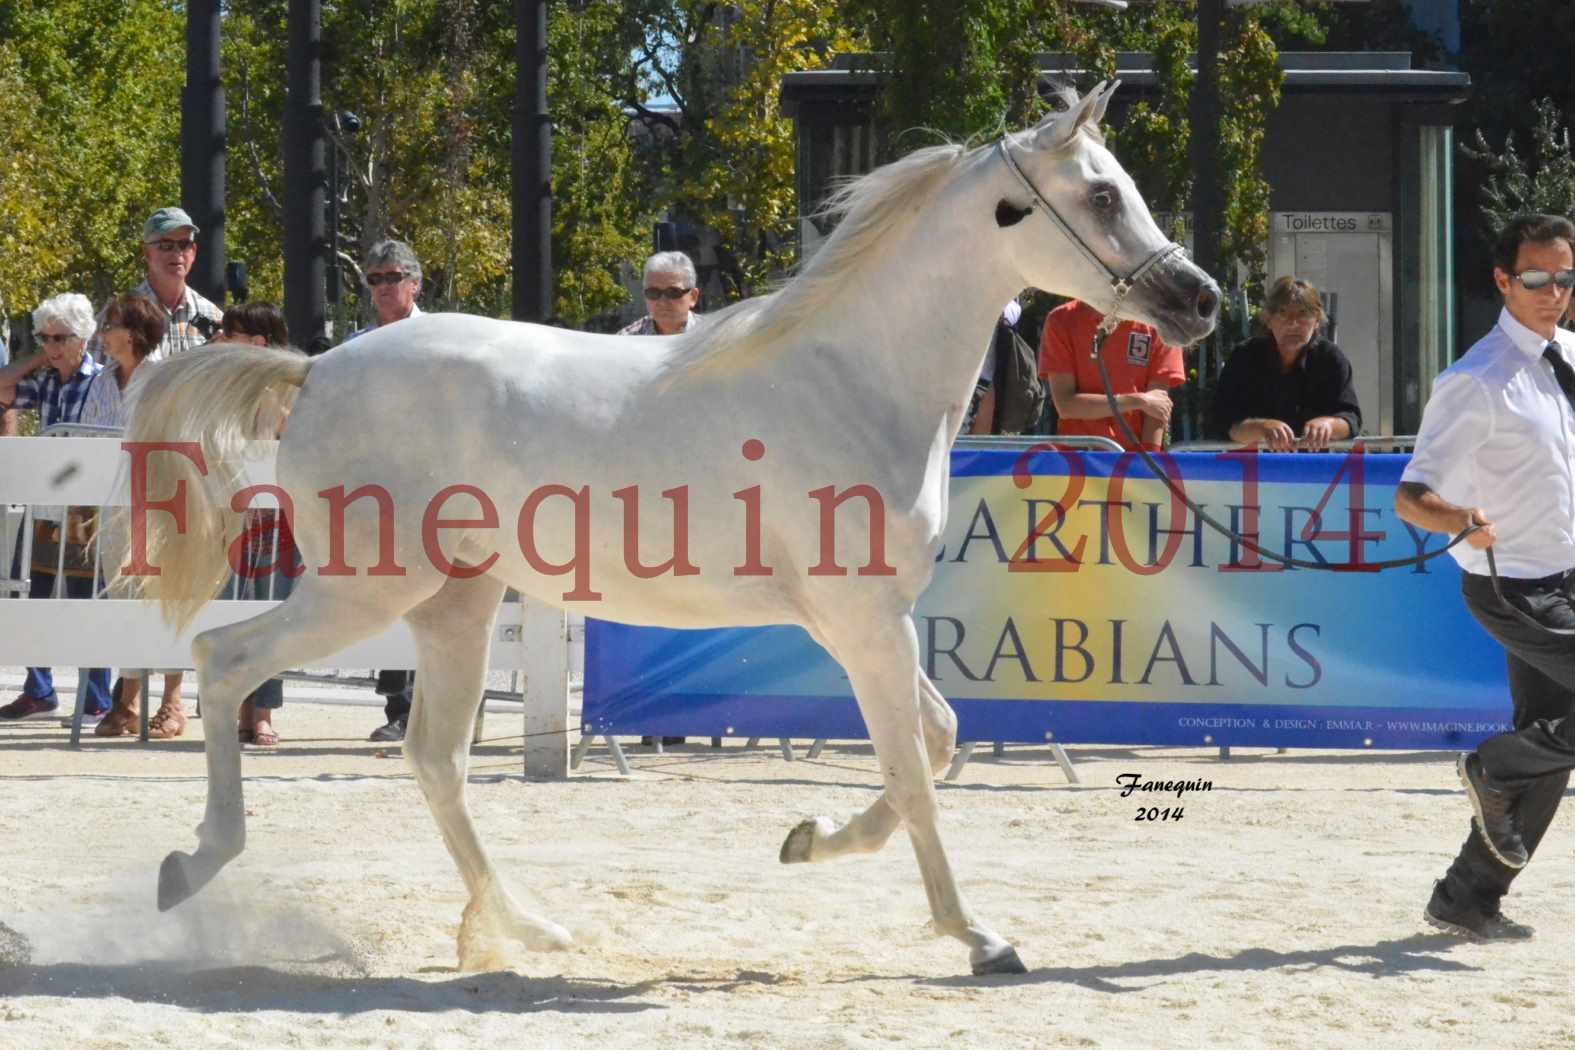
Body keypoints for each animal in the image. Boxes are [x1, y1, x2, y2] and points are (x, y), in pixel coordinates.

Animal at [126, 84, 1215, 976]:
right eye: (1102, 196)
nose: (1197, 300)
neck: (854, 378)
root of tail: (314, 367)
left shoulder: (865, 623)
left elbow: (937, 745)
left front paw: (807, 837)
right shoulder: (862, 623)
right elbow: (915, 771)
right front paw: (980, 938)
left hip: (455, 603)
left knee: (434, 757)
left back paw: (522, 930)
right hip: (365, 592)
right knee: (228, 662)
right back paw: (193, 864)